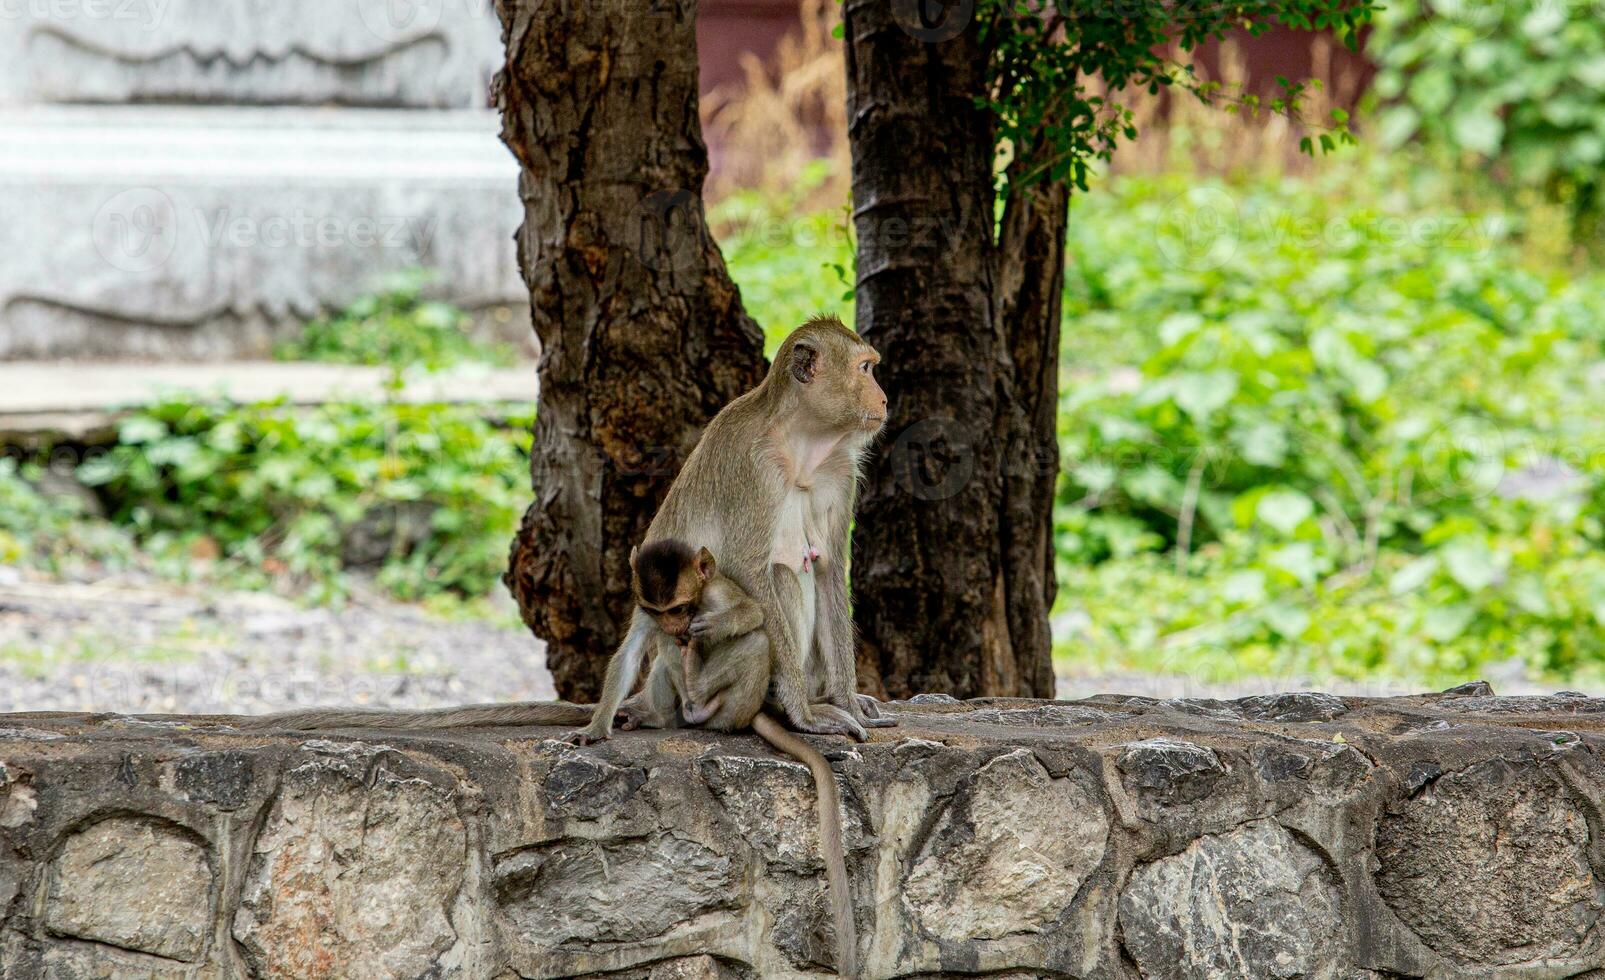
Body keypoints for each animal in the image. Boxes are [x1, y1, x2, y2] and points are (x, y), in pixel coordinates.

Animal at [574, 317, 898, 747]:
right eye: (865, 368)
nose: (884, 400)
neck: (801, 444)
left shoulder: (840, 468)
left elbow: (828, 568)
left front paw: (848, 701)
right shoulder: (753, 463)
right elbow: (750, 569)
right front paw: (804, 715)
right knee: (782, 574)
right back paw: (786, 704)